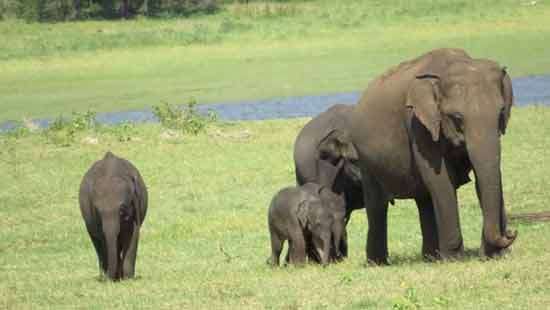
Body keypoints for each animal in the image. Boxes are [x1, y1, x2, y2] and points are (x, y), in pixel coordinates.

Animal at [79, 151, 149, 280]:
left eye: (122, 209)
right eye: (98, 211)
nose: (108, 278)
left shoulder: (135, 205)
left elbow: (133, 233)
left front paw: (128, 278)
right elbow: (104, 238)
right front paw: (114, 278)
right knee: (98, 243)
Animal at [352, 49, 520, 264]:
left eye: (501, 112)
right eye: (457, 117)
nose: (511, 233)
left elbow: (486, 176)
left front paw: (493, 255)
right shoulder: (418, 124)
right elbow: (440, 180)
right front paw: (455, 258)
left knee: (424, 199)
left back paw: (431, 257)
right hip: (366, 161)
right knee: (377, 205)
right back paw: (378, 263)